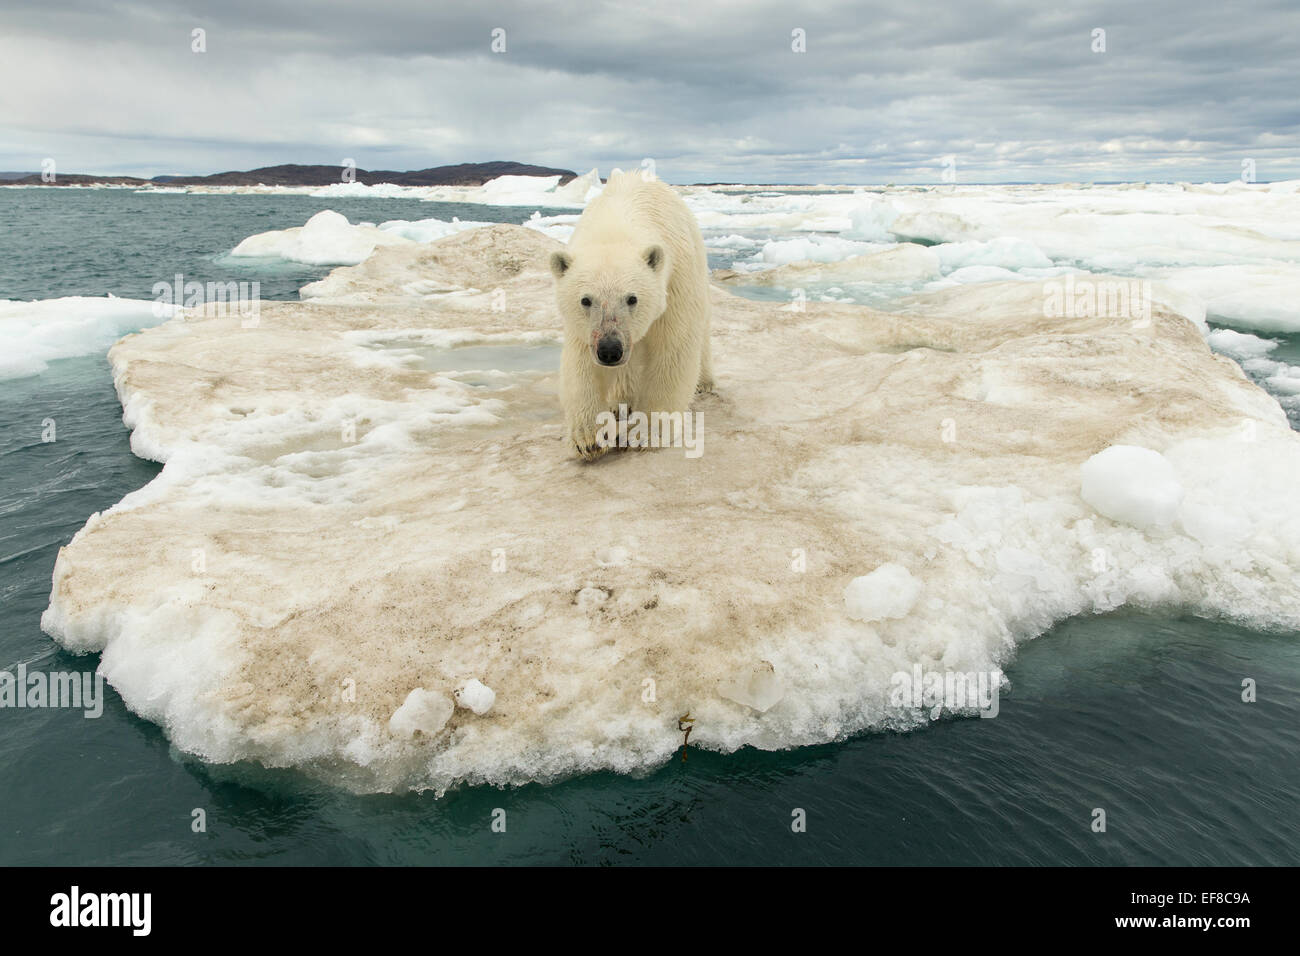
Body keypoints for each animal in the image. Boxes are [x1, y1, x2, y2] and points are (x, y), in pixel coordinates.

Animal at [548, 169, 712, 460]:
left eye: (632, 298)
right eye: (585, 300)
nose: (609, 350)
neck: (618, 220)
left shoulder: (676, 280)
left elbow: (673, 349)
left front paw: (646, 432)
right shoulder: (584, 329)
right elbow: (580, 363)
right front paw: (589, 438)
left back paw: (704, 382)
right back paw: (620, 400)